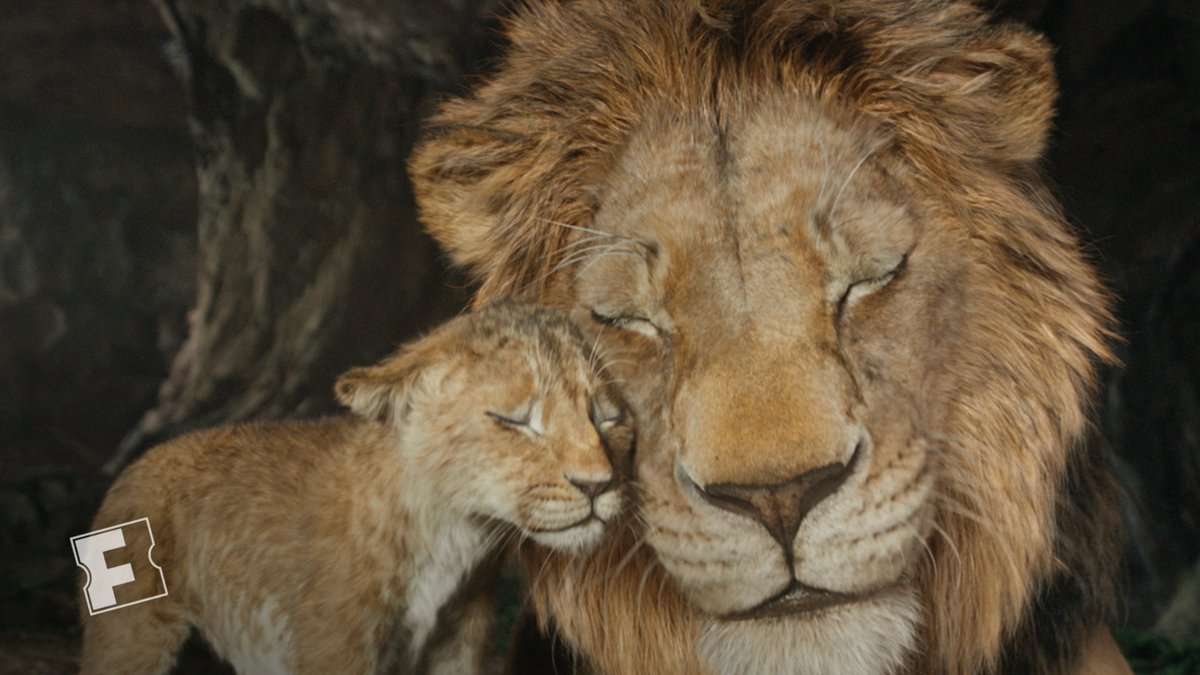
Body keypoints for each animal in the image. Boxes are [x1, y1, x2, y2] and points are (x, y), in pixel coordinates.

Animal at [78, 303, 632, 675]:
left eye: (608, 418)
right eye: (513, 420)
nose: (597, 484)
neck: (456, 540)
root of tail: (134, 464)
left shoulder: (461, 642)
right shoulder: (336, 645)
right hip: (131, 637)